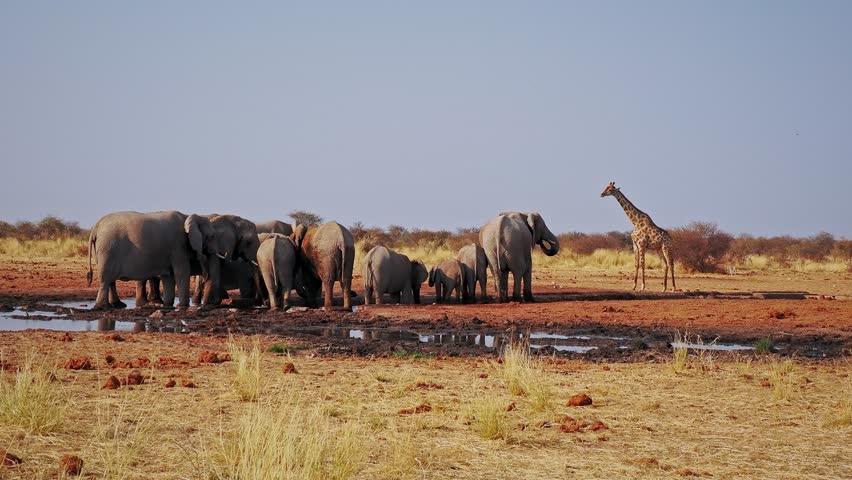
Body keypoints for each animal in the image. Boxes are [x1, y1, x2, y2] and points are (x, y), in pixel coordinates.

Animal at [87, 211, 221, 309]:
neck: (189, 216)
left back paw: (117, 305)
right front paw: (182, 306)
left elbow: (169, 276)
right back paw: (103, 307)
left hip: (103, 250)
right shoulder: (178, 247)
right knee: (106, 279)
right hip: (108, 249)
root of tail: (95, 227)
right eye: (212, 236)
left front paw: (168, 305)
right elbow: (181, 272)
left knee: (110, 280)